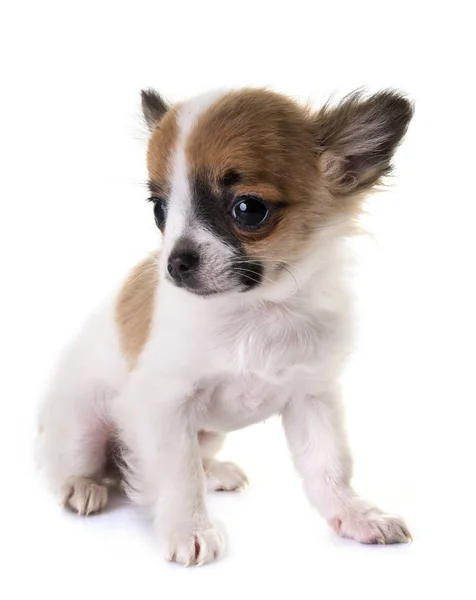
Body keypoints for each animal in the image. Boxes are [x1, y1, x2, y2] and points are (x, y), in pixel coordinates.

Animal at [37, 86, 414, 564]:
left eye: (249, 210)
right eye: (160, 210)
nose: (175, 263)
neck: (257, 311)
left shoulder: (312, 398)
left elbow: (329, 467)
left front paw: (355, 515)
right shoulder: (164, 405)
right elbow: (179, 476)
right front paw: (189, 529)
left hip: (210, 434)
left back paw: (214, 471)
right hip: (82, 428)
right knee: (66, 466)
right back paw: (82, 487)